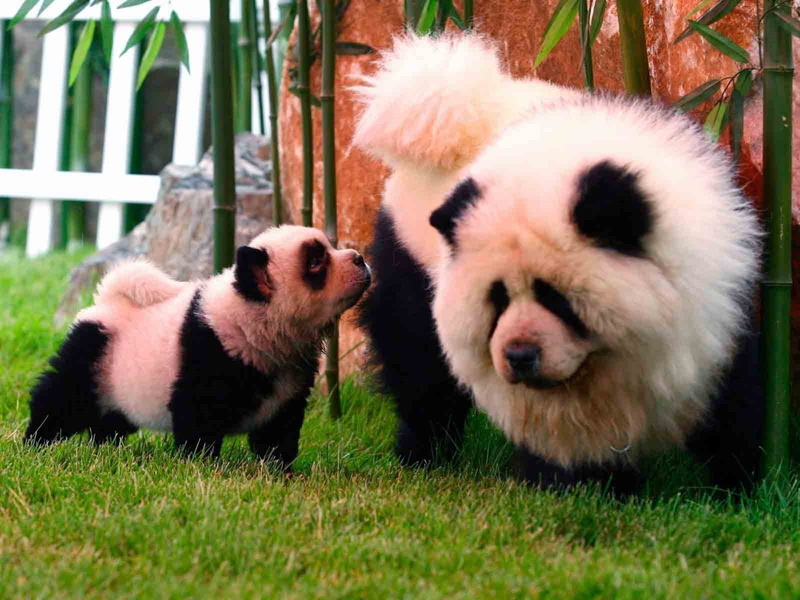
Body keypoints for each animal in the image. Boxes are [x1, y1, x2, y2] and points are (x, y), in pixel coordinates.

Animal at [26, 226, 372, 466]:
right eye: (315, 263)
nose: (360, 258)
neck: (252, 318)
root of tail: (108, 300)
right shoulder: (209, 353)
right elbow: (198, 420)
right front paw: (201, 465)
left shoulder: (288, 382)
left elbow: (279, 428)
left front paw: (279, 469)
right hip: (93, 353)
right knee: (60, 399)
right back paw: (36, 444)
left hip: (118, 379)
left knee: (111, 420)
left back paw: (106, 448)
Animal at [353, 33, 764, 493]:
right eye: (497, 299)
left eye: (557, 298)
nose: (520, 355)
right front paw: (581, 486)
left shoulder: (719, 296)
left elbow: (732, 399)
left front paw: (737, 487)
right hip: (410, 252)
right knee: (418, 365)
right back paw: (423, 456)